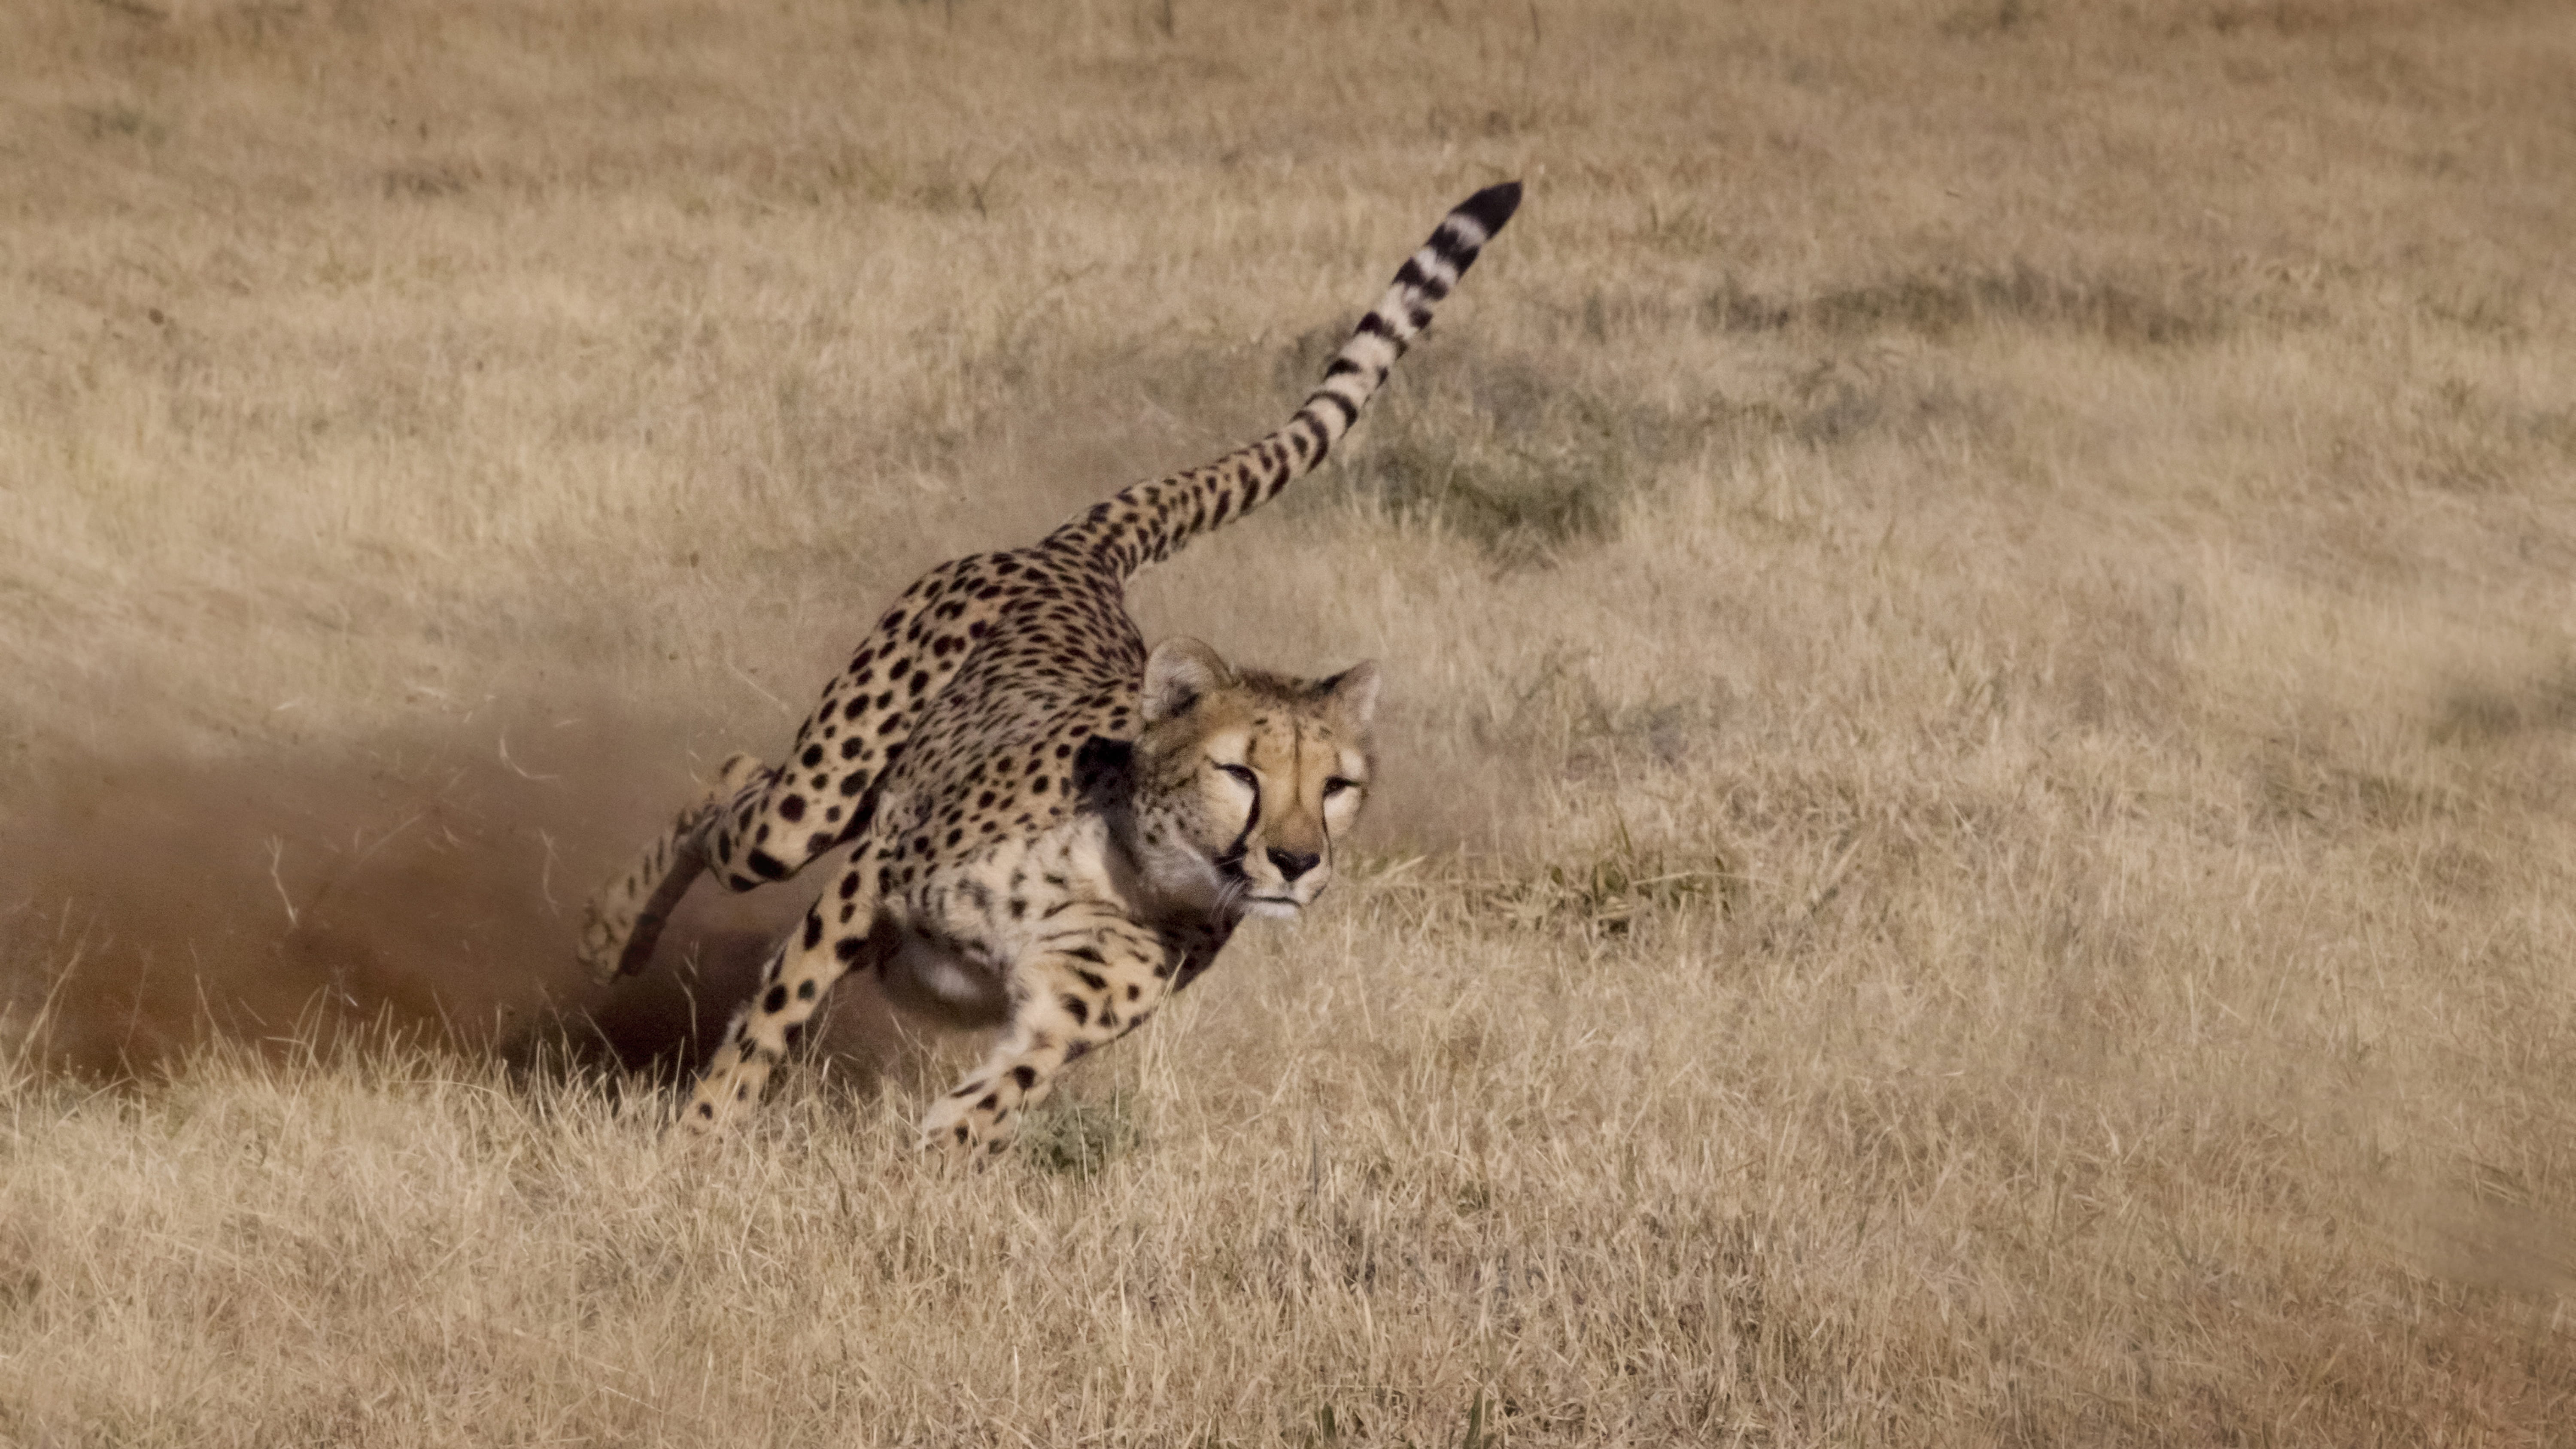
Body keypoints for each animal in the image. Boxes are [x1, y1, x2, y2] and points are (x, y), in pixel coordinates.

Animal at [574, 180, 1515, 1150]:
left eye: (1338, 786)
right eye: (1240, 773)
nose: (1295, 862)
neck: (1132, 873)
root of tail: (1078, 555)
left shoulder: (1060, 1017)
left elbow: (993, 1099)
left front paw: (923, 1161)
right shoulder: (871, 881)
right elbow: (773, 1015)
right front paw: (698, 1138)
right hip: (816, 801)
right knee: (733, 785)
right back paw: (612, 934)